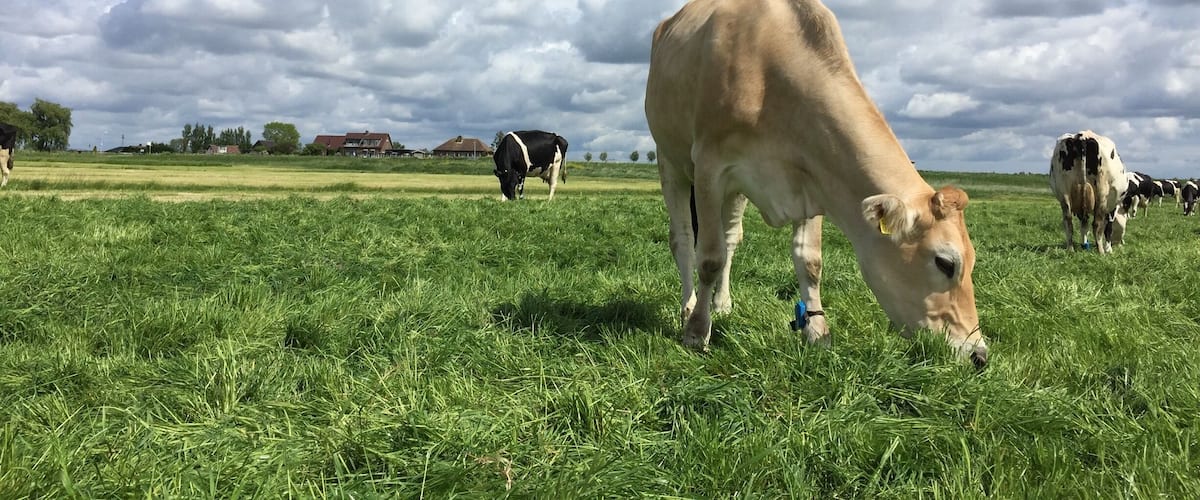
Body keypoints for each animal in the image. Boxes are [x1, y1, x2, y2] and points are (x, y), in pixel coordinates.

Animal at [644, 0, 987, 367]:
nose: (979, 354)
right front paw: (696, 332)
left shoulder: (814, 179)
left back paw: (722, 304)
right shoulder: (711, 166)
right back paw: (689, 306)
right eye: (946, 263)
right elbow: (709, 258)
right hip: (671, 161)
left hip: (735, 192)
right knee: (683, 240)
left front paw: (817, 331)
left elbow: (809, 262)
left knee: (731, 237)